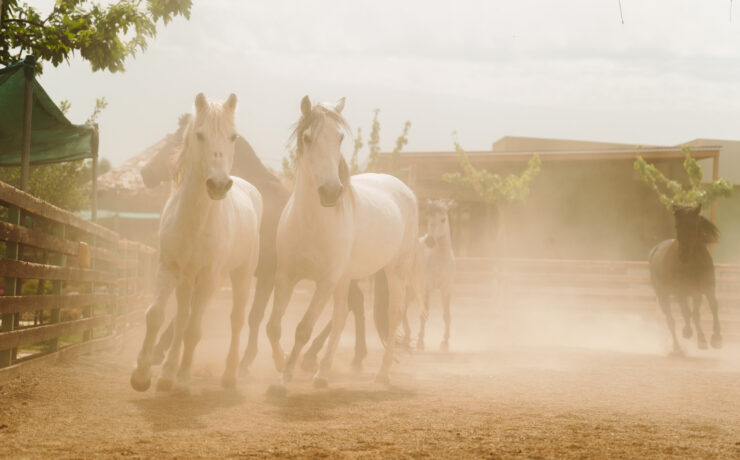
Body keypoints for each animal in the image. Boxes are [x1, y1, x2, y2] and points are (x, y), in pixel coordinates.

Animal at [131, 94, 264, 396]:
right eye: (200, 135)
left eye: (233, 136)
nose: (218, 185)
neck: (195, 220)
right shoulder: (168, 268)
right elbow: (156, 315)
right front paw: (142, 376)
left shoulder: (207, 277)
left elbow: (194, 331)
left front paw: (182, 381)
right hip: (186, 280)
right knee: (180, 319)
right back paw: (166, 375)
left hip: (239, 275)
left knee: (235, 320)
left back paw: (229, 376)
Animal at [139, 114, 370, 374]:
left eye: (177, 141)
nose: (145, 172)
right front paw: (159, 351)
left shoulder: (265, 275)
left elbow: (254, 316)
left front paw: (246, 360)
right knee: (353, 304)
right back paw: (328, 356)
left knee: (353, 305)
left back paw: (339, 356)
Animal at [648, 203, 724, 354]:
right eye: (677, 225)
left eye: (694, 225)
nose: (683, 255)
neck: (694, 264)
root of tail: (655, 250)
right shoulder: (684, 292)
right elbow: (692, 314)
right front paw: (700, 340)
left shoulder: (707, 289)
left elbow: (713, 306)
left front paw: (717, 339)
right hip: (664, 295)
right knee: (672, 320)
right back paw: (678, 347)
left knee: (687, 313)